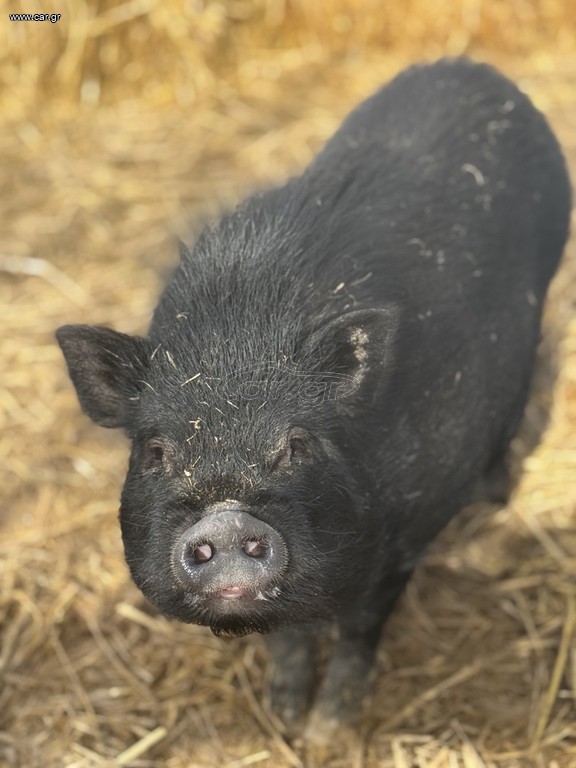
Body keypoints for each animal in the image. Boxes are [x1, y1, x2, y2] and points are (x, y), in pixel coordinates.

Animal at [56, 58, 571, 737]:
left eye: (297, 444)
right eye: (155, 451)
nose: (226, 516)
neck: (238, 337)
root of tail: (473, 68)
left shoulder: (402, 537)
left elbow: (359, 627)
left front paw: (330, 729)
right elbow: (289, 637)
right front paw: (283, 720)